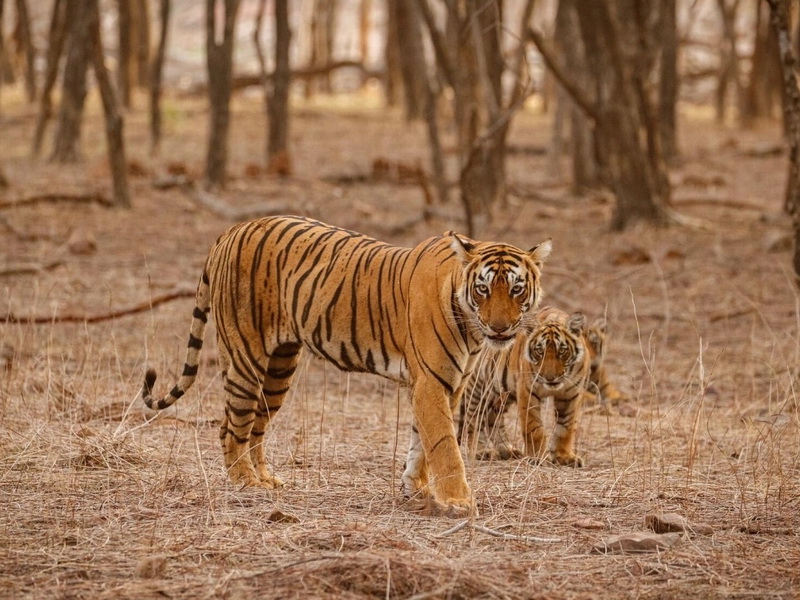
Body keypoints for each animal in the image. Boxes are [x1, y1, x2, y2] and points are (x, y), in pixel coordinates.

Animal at [141, 218, 552, 516]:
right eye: (483, 289)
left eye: (516, 289)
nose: (500, 328)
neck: (469, 323)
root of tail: (231, 230)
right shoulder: (433, 383)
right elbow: (444, 444)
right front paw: (458, 501)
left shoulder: (448, 383)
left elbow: (421, 441)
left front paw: (415, 489)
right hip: (246, 357)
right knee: (231, 426)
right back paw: (245, 481)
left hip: (278, 369)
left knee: (254, 426)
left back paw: (267, 479)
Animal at [460, 308, 592, 466]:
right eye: (540, 351)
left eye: (562, 351)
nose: (550, 378)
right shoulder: (528, 390)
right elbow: (534, 428)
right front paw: (538, 458)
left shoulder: (571, 394)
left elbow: (566, 427)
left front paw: (564, 457)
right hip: (478, 384)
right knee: (473, 418)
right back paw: (481, 451)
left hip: (503, 391)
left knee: (492, 417)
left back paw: (506, 449)